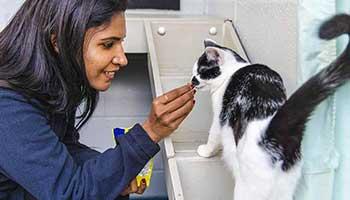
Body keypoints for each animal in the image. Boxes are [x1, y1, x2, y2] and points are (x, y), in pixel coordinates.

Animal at [190, 14, 350, 200]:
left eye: (201, 72)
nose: (192, 81)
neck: (235, 69)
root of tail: (275, 129)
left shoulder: (219, 117)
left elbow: (213, 136)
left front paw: (205, 151)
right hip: (285, 186)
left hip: (247, 186)